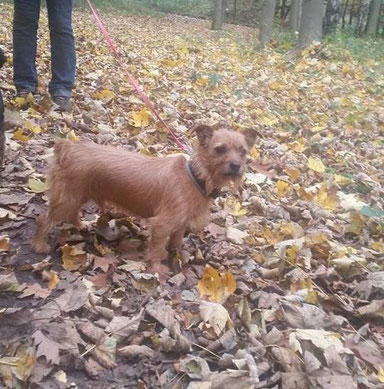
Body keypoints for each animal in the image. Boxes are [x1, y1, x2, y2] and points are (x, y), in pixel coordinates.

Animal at [32, 124, 255, 276]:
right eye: (220, 149)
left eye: (243, 152)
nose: (236, 165)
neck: (196, 176)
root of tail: (67, 147)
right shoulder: (162, 224)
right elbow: (156, 248)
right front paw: (156, 268)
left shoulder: (180, 222)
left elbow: (176, 239)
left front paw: (177, 252)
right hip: (68, 197)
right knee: (44, 219)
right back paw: (39, 245)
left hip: (79, 194)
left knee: (72, 212)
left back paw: (80, 225)